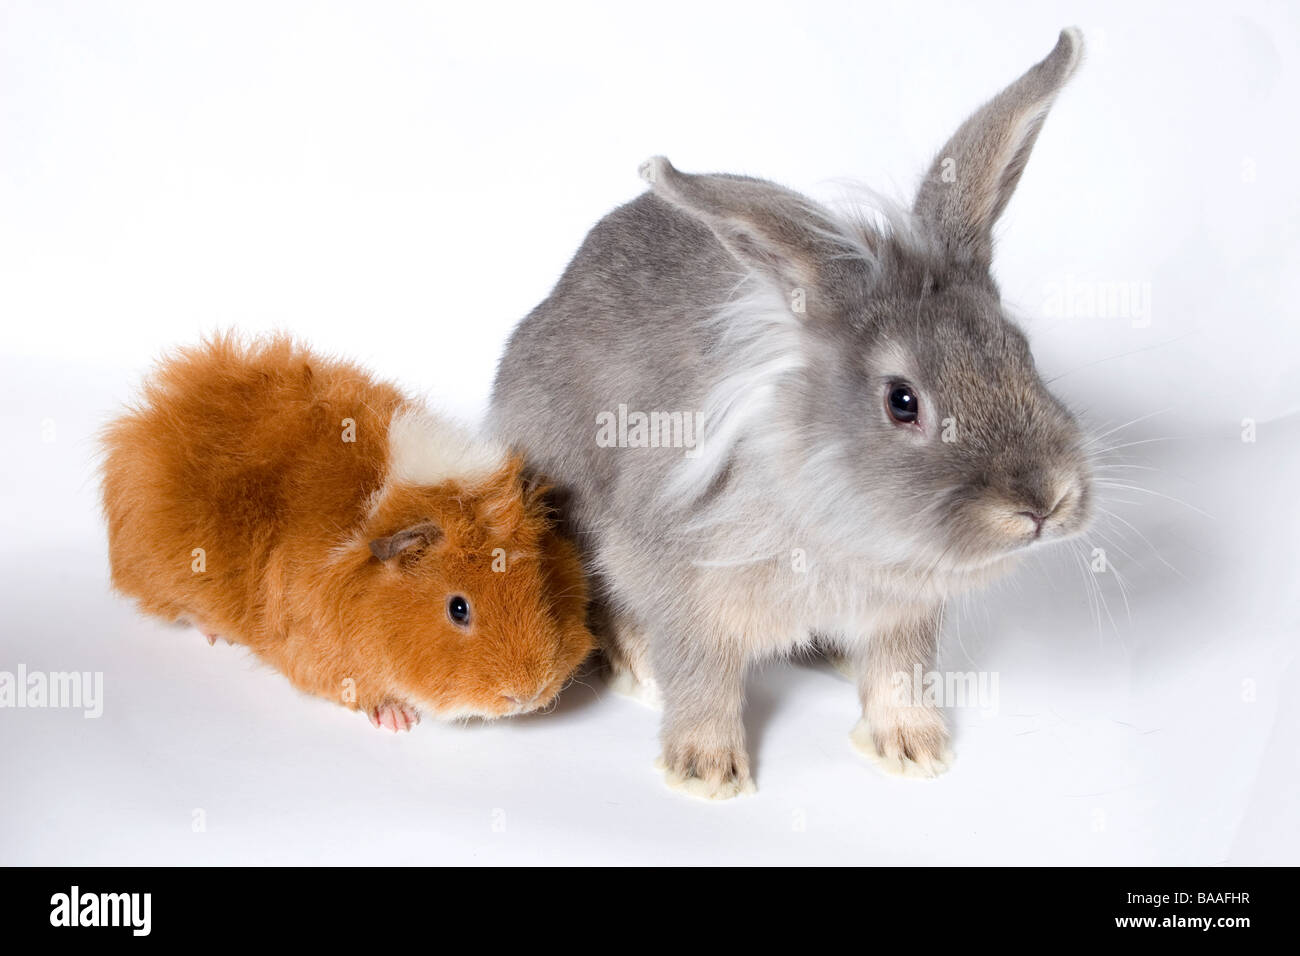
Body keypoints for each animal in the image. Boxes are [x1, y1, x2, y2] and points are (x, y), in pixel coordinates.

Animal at [488, 29, 1092, 796]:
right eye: (902, 402)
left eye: (1020, 349)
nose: (1044, 502)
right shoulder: (682, 583)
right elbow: (702, 678)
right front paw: (706, 772)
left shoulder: (903, 618)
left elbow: (899, 674)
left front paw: (915, 750)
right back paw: (642, 670)